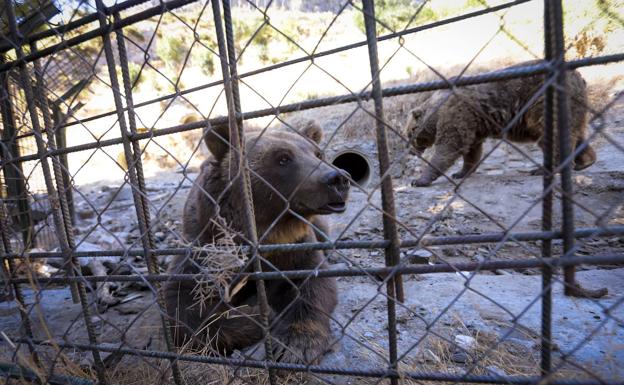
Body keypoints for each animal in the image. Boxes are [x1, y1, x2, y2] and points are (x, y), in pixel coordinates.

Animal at [165, 119, 352, 364]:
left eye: (318, 154)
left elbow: (313, 284)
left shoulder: (295, 245)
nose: (339, 178)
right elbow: (182, 305)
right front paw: (259, 316)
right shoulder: (207, 246)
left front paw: (296, 344)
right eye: (283, 158)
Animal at [402, 60, 596, 186]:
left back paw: (542, 169)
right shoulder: (475, 123)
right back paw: (584, 162)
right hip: (574, 106)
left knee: (551, 136)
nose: (410, 150)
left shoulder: (457, 113)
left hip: (543, 102)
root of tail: (579, 76)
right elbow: (472, 151)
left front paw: (419, 180)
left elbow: (449, 147)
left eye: (410, 132)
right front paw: (461, 172)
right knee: (575, 134)